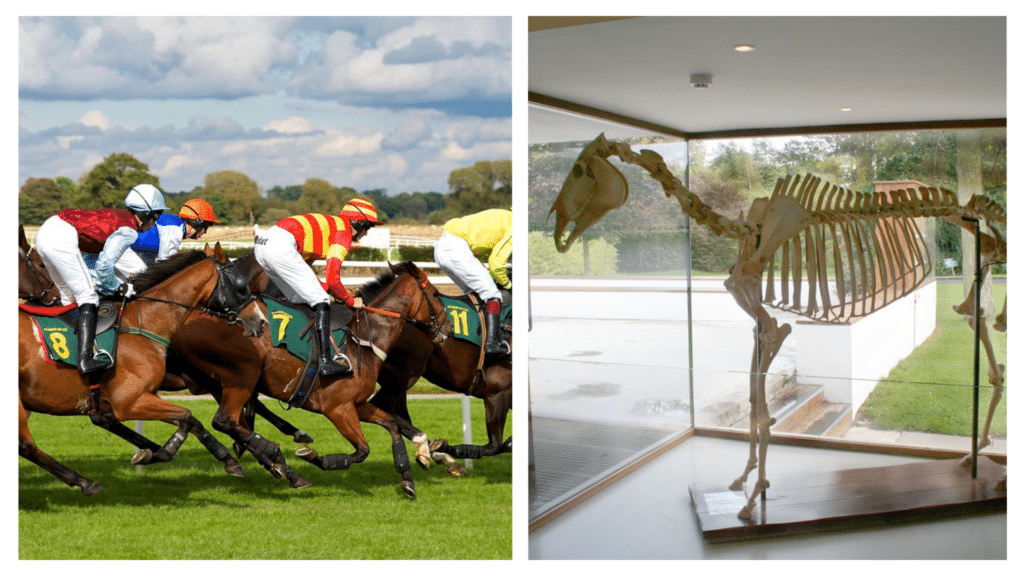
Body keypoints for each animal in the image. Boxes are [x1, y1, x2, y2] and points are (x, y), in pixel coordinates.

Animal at [18, 243, 266, 491]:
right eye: (241, 286)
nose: (261, 321)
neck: (143, 322)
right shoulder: (129, 402)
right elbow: (186, 415)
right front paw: (160, 452)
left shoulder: (139, 398)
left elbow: (192, 421)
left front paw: (229, 459)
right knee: (26, 445)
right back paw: (85, 482)